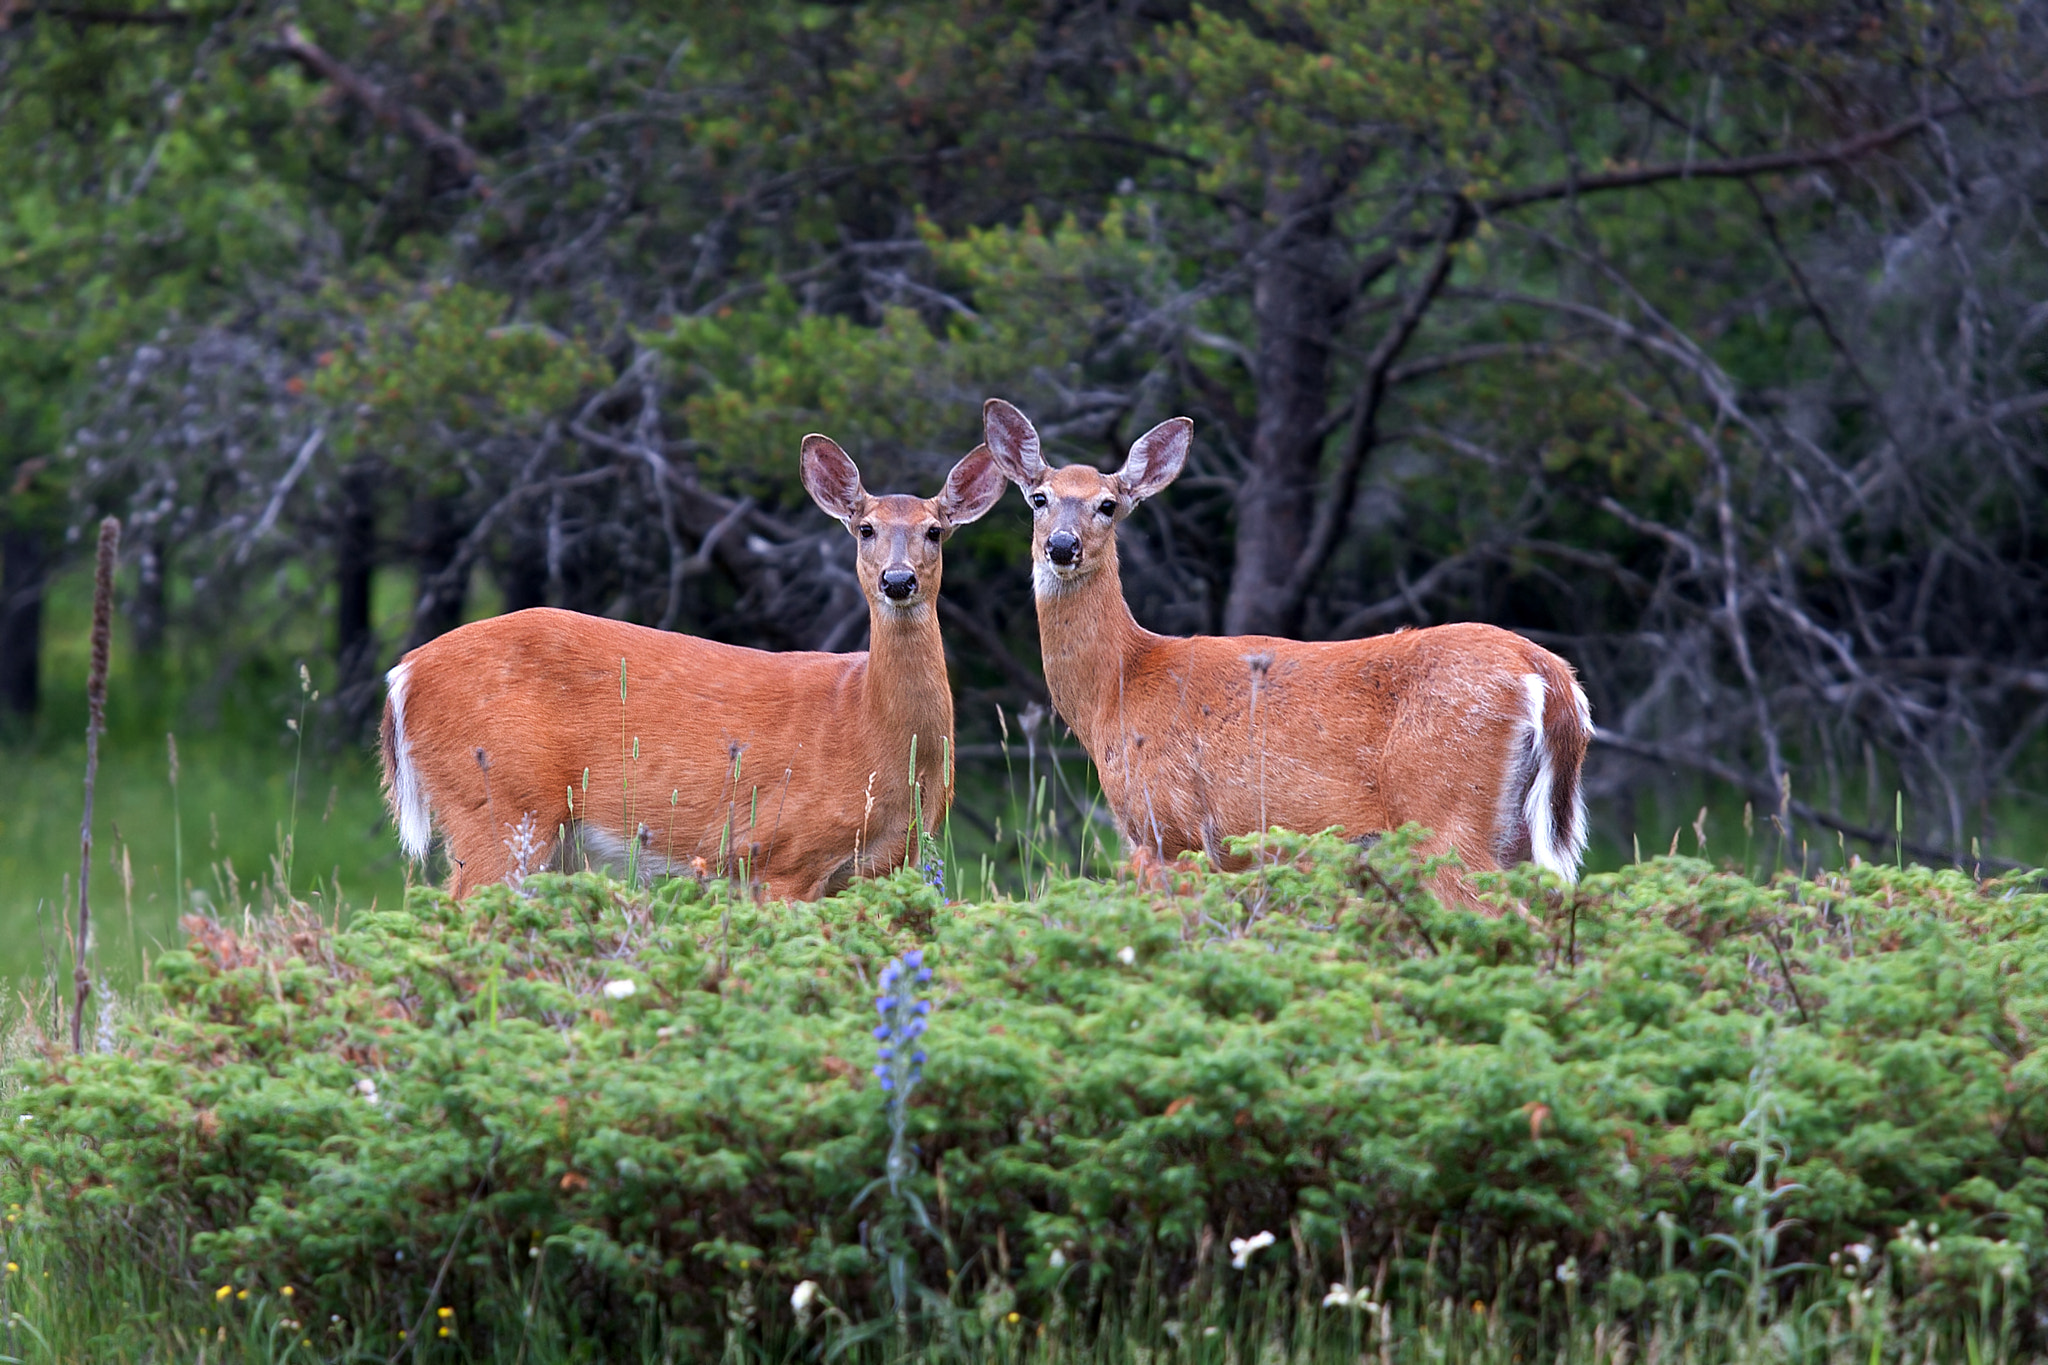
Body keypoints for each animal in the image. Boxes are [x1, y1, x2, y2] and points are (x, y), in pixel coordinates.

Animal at [382, 437, 1007, 900]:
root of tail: (402, 675)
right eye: (865, 528)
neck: (869, 728)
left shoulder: (881, 865)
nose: (898, 580)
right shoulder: (781, 851)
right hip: (500, 802)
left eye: (935, 530)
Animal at [983, 397, 1589, 908]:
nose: (1062, 546)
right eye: (1039, 499)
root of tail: (1549, 675)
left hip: (1444, 813)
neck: (1118, 687)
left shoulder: (1171, 829)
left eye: (1108, 505)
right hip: (1520, 836)